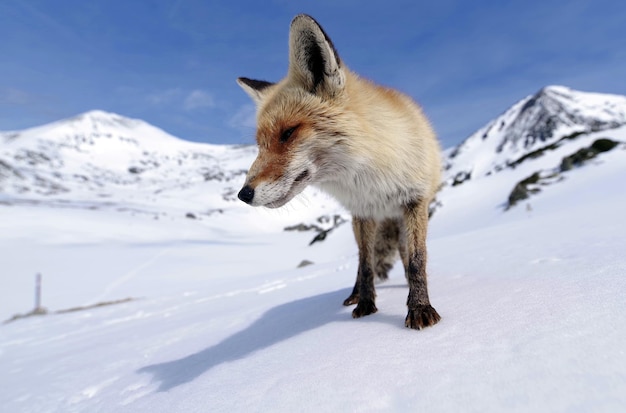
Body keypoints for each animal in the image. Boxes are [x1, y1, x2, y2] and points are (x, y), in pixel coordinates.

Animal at [236, 14, 442, 328]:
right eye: (260, 144)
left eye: (288, 133)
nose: (243, 194)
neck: (371, 176)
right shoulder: (363, 211)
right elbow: (365, 265)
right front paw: (367, 305)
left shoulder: (415, 201)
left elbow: (418, 259)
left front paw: (419, 306)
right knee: (362, 261)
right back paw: (355, 295)